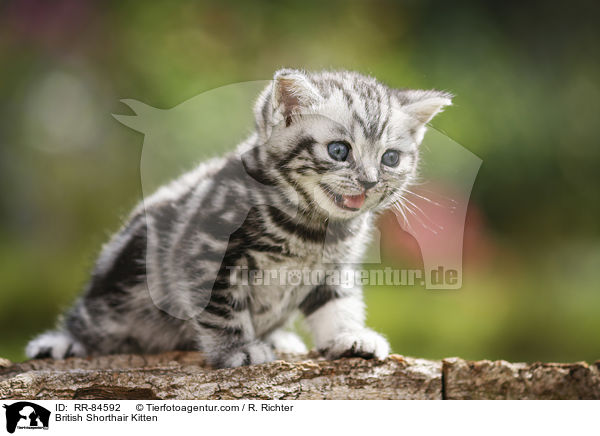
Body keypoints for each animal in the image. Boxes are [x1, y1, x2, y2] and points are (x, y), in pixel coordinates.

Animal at [27, 69, 450, 368]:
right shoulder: (205, 251)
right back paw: (64, 341)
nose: (370, 181)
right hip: (116, 296)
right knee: (91, 321)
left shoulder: (334, 268)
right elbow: (221, 310)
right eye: (338, 150)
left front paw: (348, 336)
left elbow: (337, 303)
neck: (310, 228)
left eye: (390, 158)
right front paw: (237, 351)